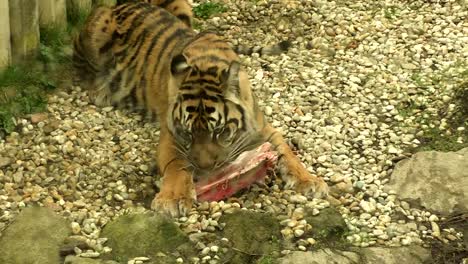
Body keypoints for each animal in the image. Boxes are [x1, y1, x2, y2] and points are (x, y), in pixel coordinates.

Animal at [74, 2, 330, 217]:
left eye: (220, 132)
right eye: (188, 134)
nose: (206, 170)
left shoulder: (264, 129)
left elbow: (288, 153)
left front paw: (309, 181)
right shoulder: (170, 136)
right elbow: (176, 164)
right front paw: (173, 199)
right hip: (98, 26)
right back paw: (101, 91)